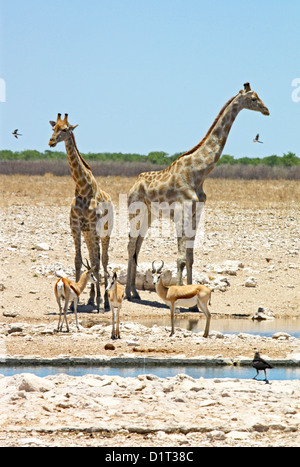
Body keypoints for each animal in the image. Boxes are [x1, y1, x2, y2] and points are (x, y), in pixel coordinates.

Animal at [49, 113, 112, 310]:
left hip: (105, 233)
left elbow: (97, 263)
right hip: (88, 234)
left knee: (103, 260)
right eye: (53, 128)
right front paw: (72, 301)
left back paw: (104, 301)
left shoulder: (94, 228)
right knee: (92, 257)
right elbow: (78, 261)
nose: (51, 141)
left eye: (65, 129)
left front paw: (100, 302)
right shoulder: (76, 228)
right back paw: (91, 298)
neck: (83, 188)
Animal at [125, 83, 270, 300]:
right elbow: (180, 258)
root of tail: (134, 184)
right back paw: (127, 292)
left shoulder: (196, 213)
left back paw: (134, 292)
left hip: (149, 216)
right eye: (253, 99)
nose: (266, 110)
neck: (199, 173)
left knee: (137, 246)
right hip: (135, 212)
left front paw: (192, 297)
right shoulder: (180, 213)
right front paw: (178, 293)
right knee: (130, 245)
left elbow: (190, 257)